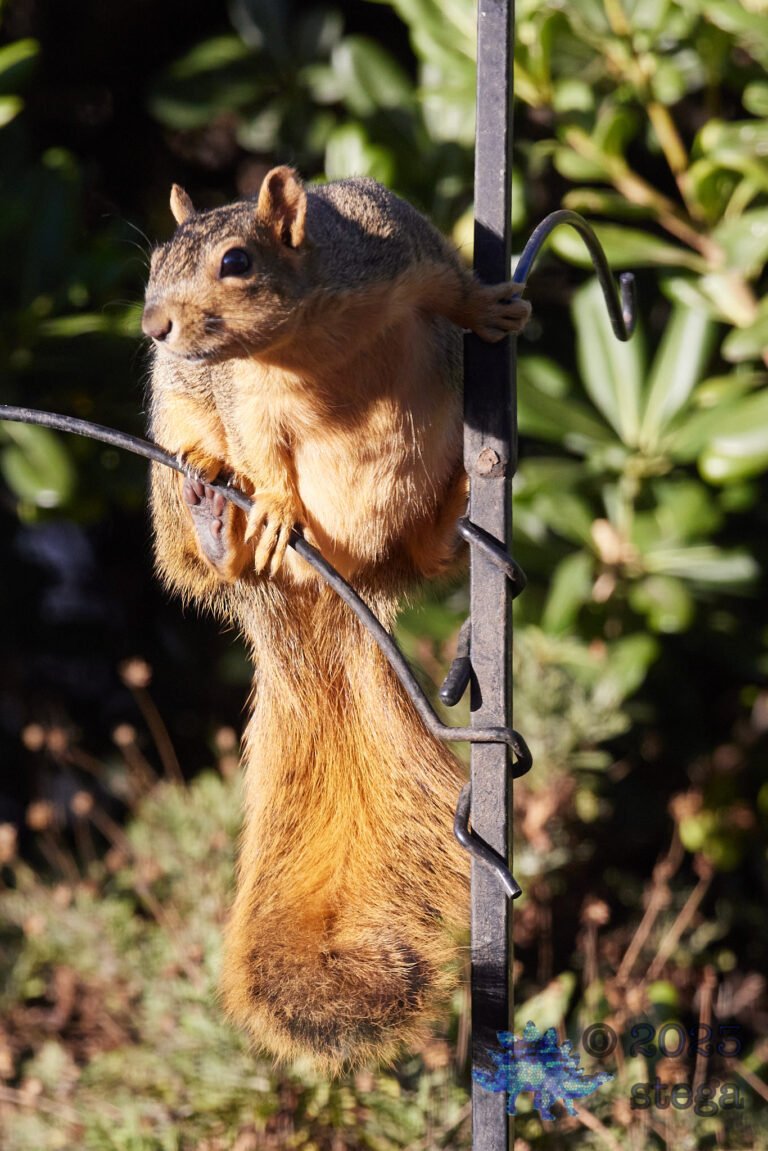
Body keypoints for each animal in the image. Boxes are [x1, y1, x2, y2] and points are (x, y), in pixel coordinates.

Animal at [142, 166, 530, 1074]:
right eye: (153, 262)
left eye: (237, 261)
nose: (154, 326)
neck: (306, 345)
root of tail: (335, 583)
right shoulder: (244, 401)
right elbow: (264, 451)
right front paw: (278, 503)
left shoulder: (395, 248)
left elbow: (450, 286)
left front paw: (490, 308)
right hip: (170, 443)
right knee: (204, 534)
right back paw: (217, 516)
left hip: (417, 517)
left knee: (427, 550)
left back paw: (457, 510)